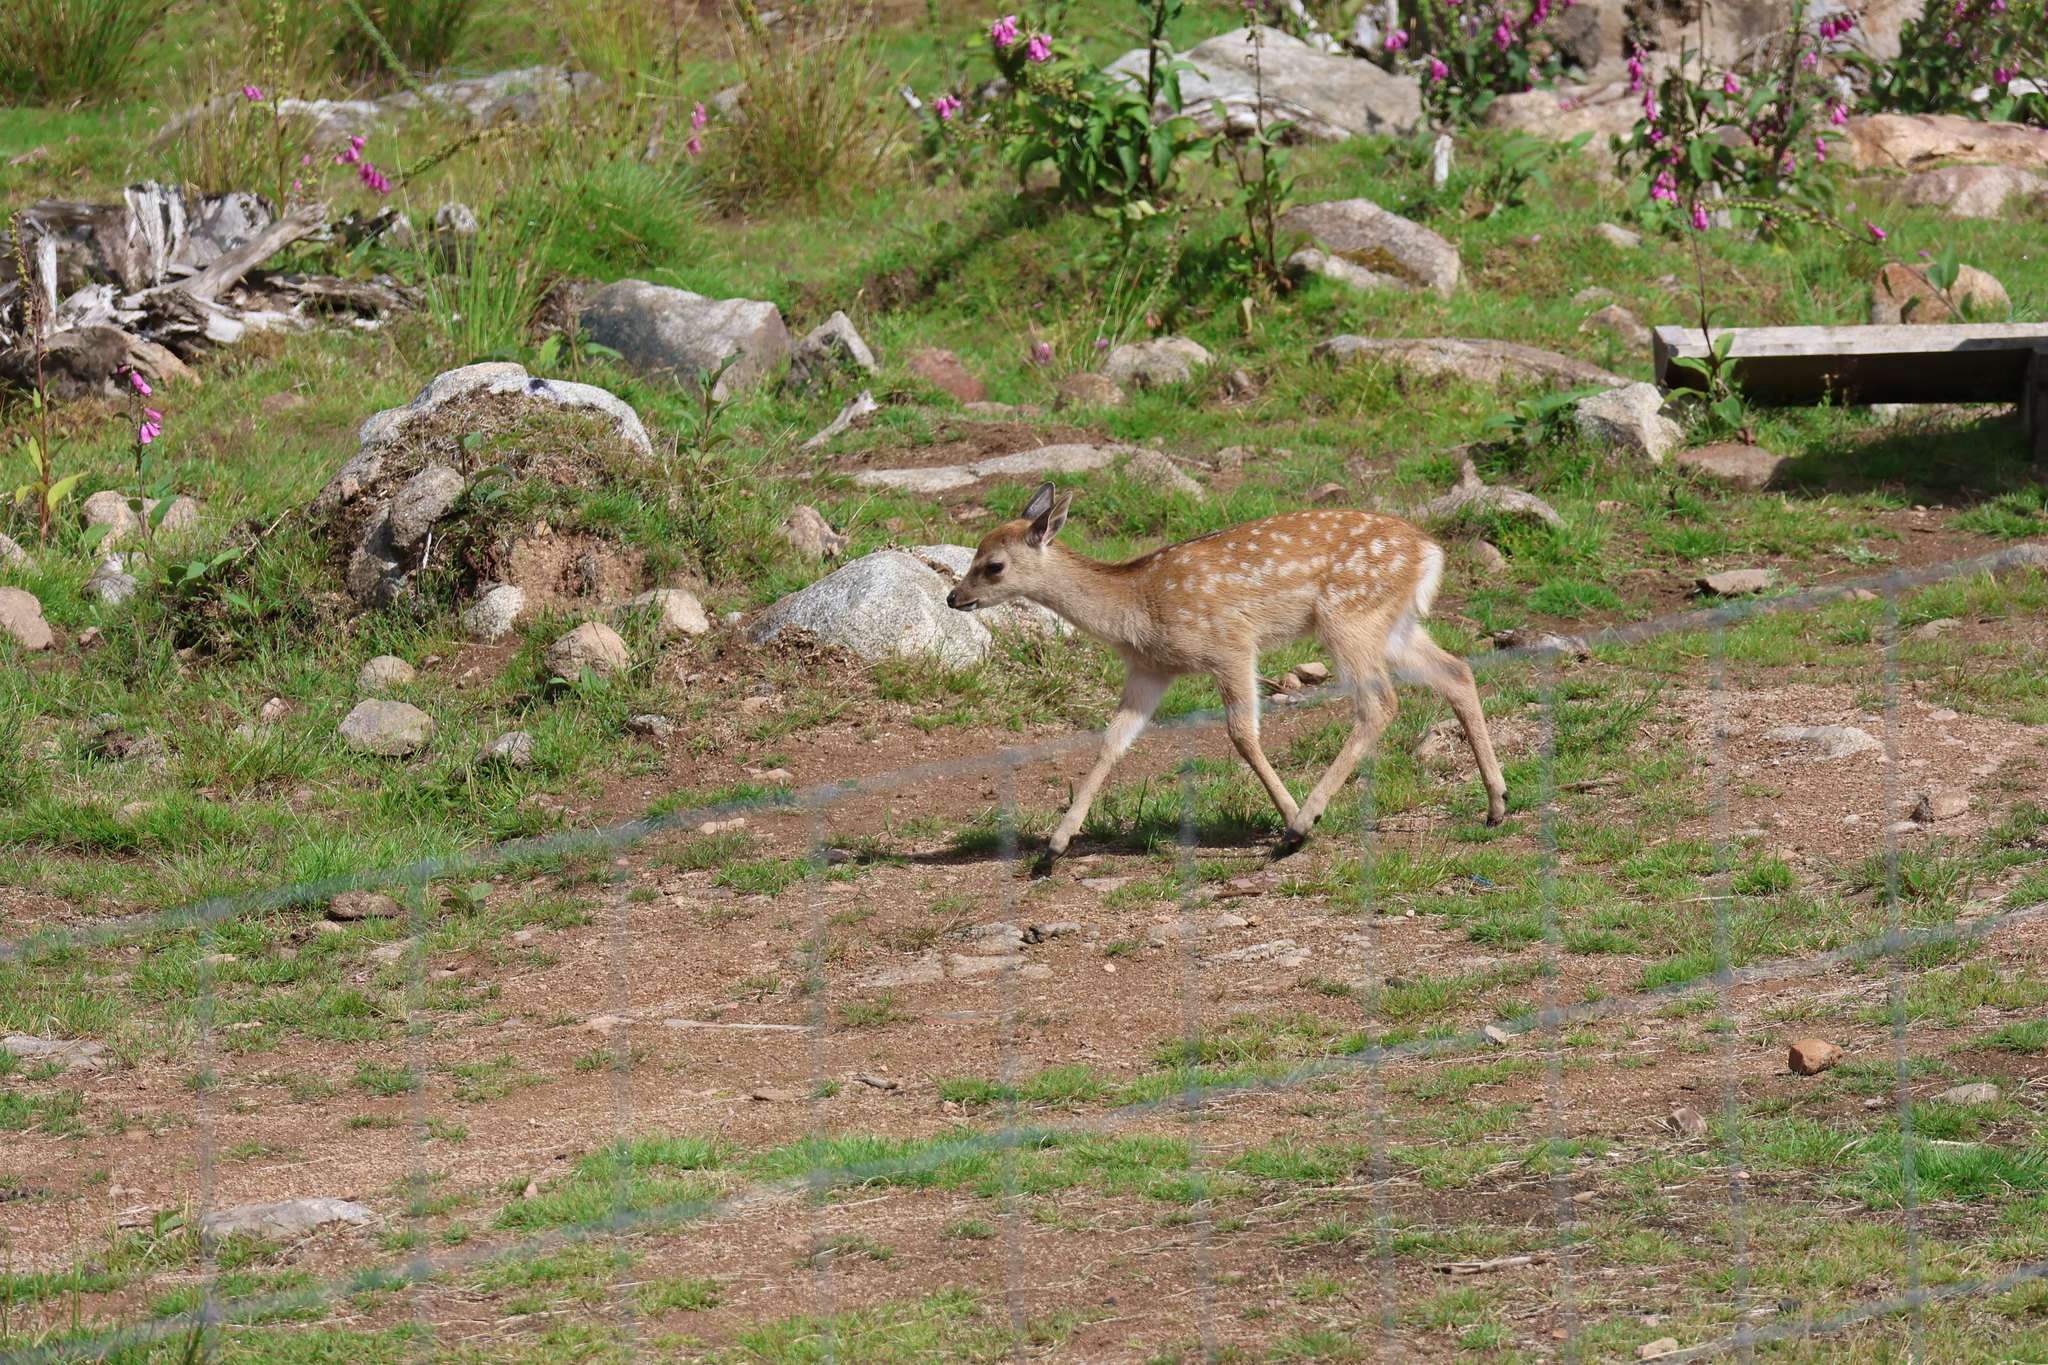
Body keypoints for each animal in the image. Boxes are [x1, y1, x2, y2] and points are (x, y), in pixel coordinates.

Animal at [946, 482, 1507, 857]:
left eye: (993, 565)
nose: (953, 597)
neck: (1136, 608)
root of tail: (1430, 550)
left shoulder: (1230, 644)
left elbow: (1241, 734)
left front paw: (1289, 818)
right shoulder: (1149, 672)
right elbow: (1111, 742)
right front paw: (1055, 846)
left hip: (1349, 616)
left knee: (1380, 703)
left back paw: (1302, 823)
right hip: (1394, 625)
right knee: (1456, 672)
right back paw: (1497, 804)